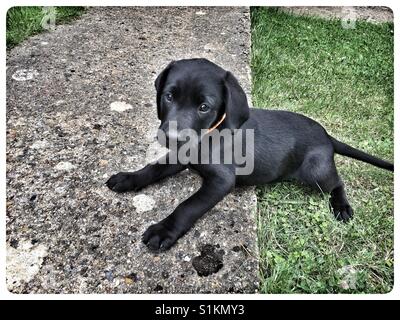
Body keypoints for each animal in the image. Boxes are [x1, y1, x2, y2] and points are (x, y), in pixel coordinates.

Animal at [106, 58, 394, 251]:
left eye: (204, 107)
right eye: (168, 96)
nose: (172, 137)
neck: (209, 135)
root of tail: (326, 135)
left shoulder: (222, 180)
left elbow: (188, 206)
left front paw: (164, 229)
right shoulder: (181, 155)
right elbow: (153, 167)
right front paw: (128, 178)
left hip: (316, 172)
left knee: (337, 182)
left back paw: (342, 206)